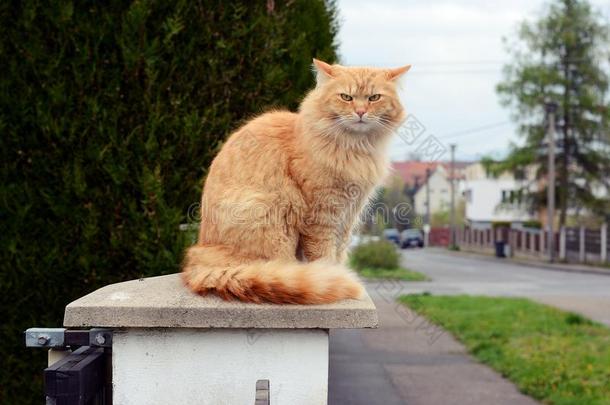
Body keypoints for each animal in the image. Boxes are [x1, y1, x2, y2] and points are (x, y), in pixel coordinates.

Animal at [180, 58, 408, 302]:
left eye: (374, 98)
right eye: (346, 97)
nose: (361, 112)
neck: (355, 149)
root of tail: (198, 260)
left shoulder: (349, 214)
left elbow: (339, 251)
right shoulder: (322, 215)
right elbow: (325, 256)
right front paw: (334, 278)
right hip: (269, 215)